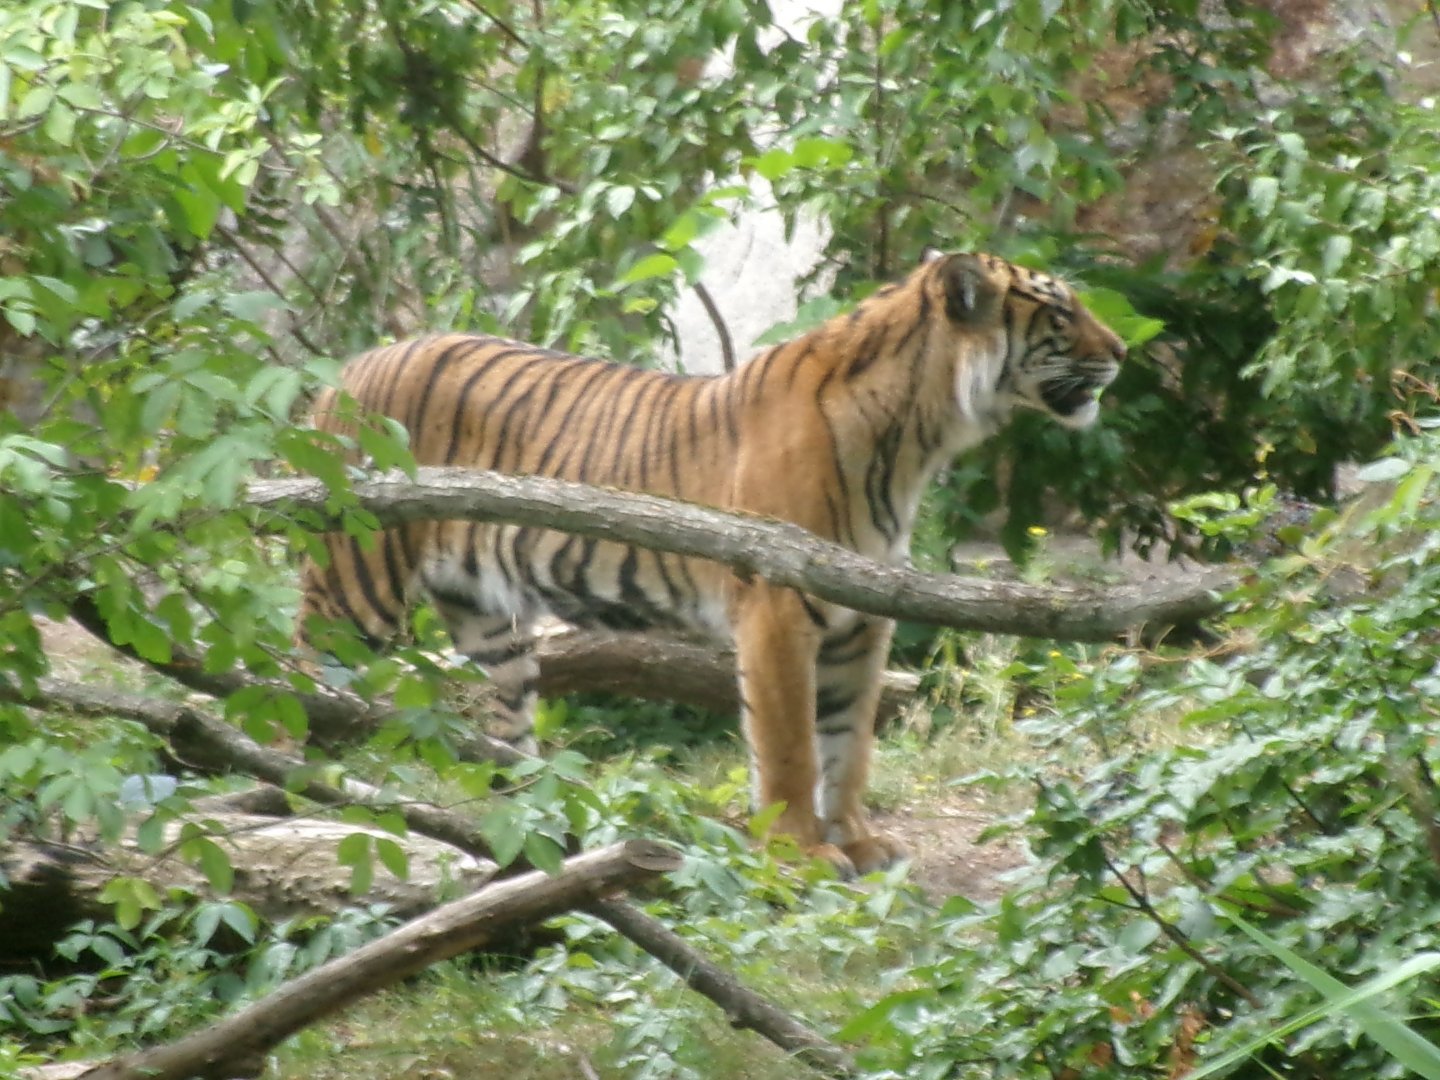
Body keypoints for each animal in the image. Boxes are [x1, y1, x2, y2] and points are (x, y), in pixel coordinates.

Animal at [297, 250, 1126, 876]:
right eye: (1060, 312)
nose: (1122, 352)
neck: (917, 433)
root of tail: (345, 370)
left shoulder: (862, 615)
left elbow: (848, 741)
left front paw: (857, 841)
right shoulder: (779, 604)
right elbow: (790, 744)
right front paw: (800, 854)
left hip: (489, 623)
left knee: (501, 731)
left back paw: (529, 829)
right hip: (352, 590)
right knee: (295, 684)